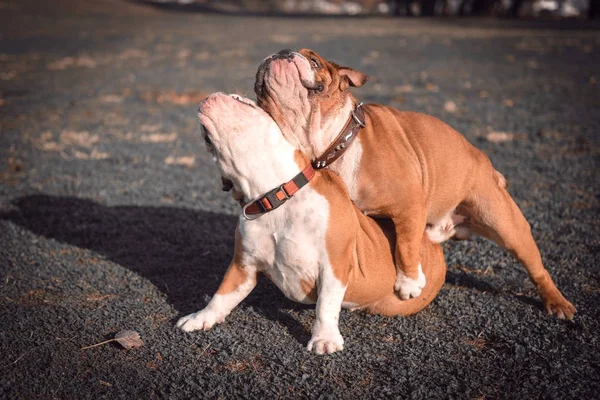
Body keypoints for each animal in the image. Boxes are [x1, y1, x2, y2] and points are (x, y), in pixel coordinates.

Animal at [176, 93, 448, 354]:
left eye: (243, 102)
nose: (210, 96)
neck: (273, 195)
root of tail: (433, 245)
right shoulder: (243, 267)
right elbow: (221, 296)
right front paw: (201, 317)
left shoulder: (333, 265)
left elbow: (325, 306)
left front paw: (324, 338)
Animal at [254, 47, 576, 318]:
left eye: (314, 61)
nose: (282, 52)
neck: (332, 143)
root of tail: (484, 161)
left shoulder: (408, 205)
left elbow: (406, 244)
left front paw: (409, 283)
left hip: (505, 223)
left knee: (536, 267)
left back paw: (557, 303)